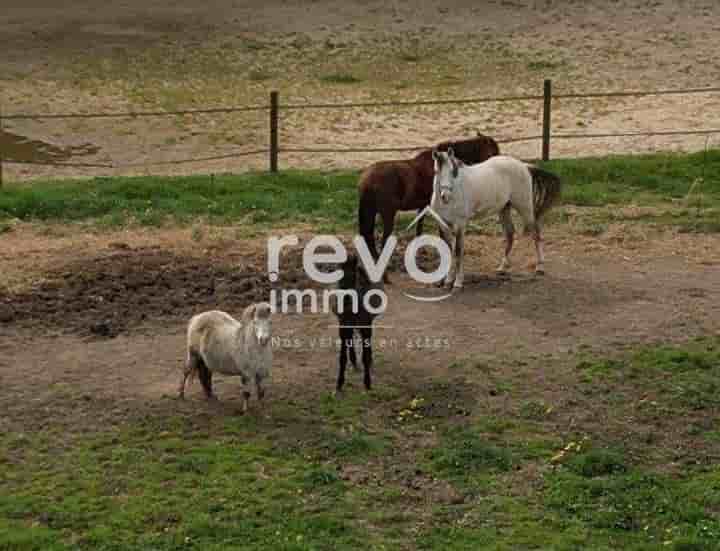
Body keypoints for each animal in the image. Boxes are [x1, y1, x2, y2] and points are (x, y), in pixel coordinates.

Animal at [358, 133, 500, 264]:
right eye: (493, 151)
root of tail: (367, 179)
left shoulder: (422, 207)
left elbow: (419, 229)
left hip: (372, 213)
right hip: (387, 214)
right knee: (382, 239)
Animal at [408, 149, 560, 292]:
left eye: (452, 171)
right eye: (436, 171)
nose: (446, 196)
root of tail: (524, 165)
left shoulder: (460, 225)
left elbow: (458, 251)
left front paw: (457, 283)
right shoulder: (443, 224)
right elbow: (448, 250)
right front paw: (445, 281)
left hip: (524, 208)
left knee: (536, 233)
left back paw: (540, 267)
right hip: (504, 209)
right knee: (510, 234)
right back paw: (502, 268)